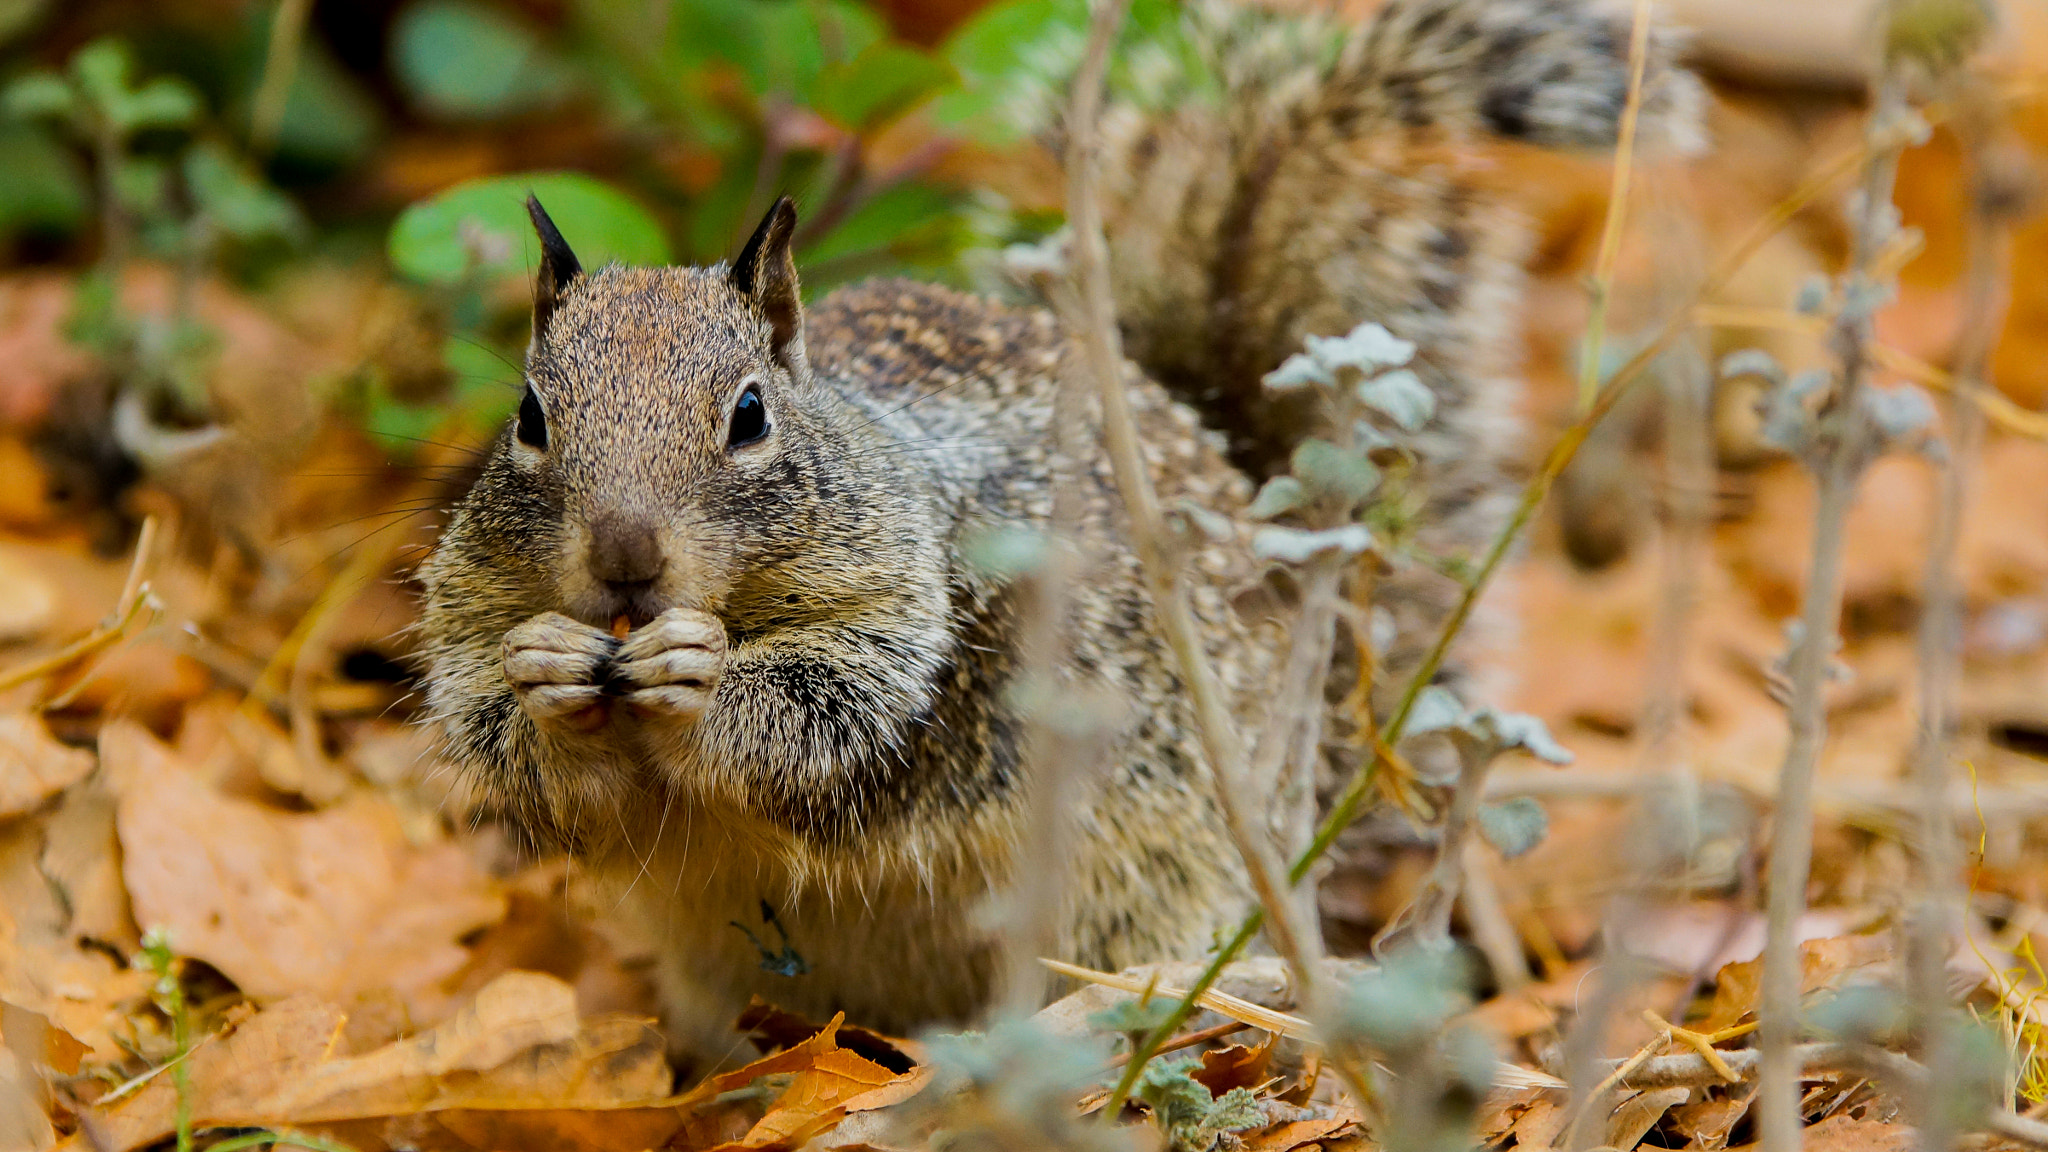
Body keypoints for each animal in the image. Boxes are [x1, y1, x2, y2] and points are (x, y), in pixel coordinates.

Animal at [411, 0, 1695, 1049]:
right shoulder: (478, 614)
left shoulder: (945, 624)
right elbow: (509, 743)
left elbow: (837, 721)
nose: (626, 565)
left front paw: (701, 674)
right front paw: (544, 671)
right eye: (529, 416)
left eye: (749, 414)